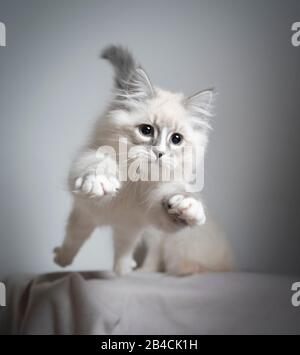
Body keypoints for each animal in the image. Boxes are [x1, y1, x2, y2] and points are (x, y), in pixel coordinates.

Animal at [54, 44, 234, 276]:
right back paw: (64, 259)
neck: (135, 183)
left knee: (130, 248)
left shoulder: (152, 213)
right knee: (77, 238)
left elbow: (176, 202)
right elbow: (99, 167)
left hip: (138, 230)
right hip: (96, 217)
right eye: (146, 130)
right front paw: (102, 180)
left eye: (176, 139)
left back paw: (126, 269)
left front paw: (189, 206)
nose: (159, 153)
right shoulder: (89, 199)